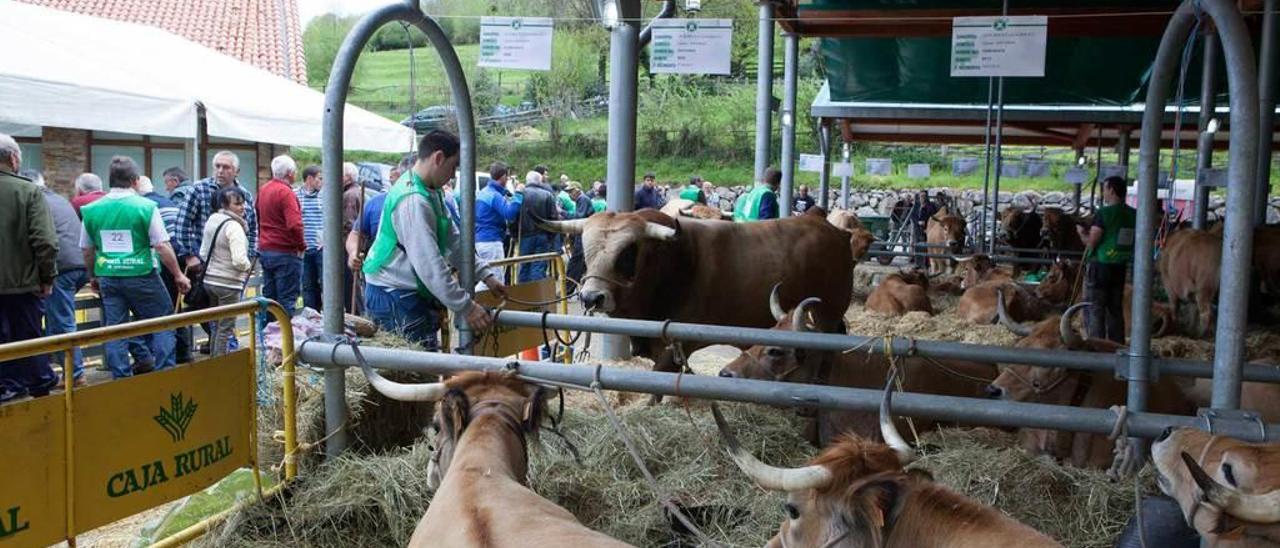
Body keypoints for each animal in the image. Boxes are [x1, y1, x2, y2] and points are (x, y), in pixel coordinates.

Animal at [537, 207, 849, 384]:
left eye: (628, 252)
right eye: (584, 247)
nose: (591, 298)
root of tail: (830, 228)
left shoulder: (678, 345)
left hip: (828, 312)